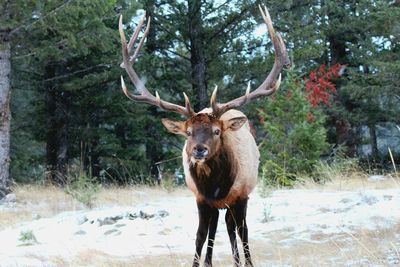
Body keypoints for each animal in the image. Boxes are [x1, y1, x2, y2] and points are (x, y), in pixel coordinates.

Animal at [117, 4, 290, 267]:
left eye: (217, 131)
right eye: (188, 132)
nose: (199, 149)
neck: (217, 186)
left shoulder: (242, 195)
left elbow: (244, 233)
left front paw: (247, 262)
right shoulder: (200, 198)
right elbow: (200, 235)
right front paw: (200, 262)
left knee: (232, 228)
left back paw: (236, 260)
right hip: (214, 206)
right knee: (216, 228)